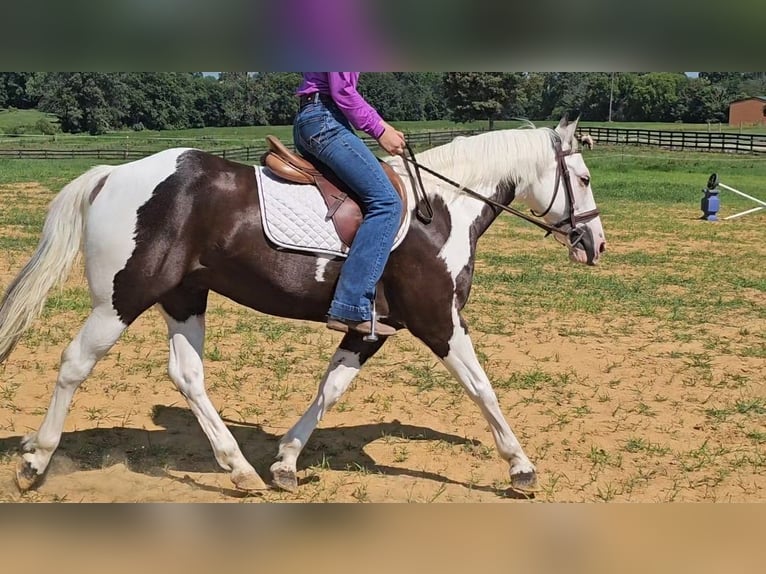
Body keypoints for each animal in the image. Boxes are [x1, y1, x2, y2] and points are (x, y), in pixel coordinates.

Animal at [0, 116, 606, 495]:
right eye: (582, 177)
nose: (595, 244)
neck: (440, 211)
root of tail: (113, 174)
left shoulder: (371, 328)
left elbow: (329, 389)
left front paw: (286, 462)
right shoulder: (438, 321)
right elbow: (483, 388)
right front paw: (521, 468)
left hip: (183, 296)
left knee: (187, 375)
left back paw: (240, 471)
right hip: (121, 299)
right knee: (75, 363)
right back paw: (35, 461)